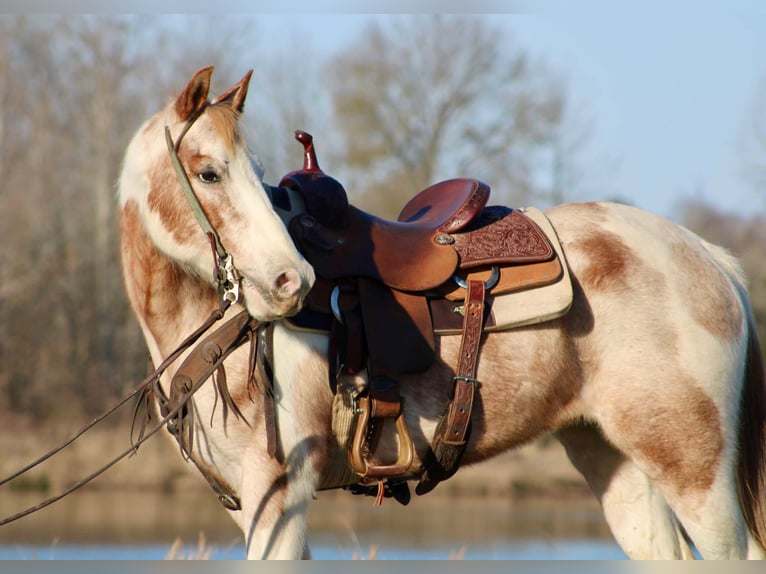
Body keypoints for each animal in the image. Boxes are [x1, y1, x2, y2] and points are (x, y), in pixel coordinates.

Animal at [118, 66, 766, 560]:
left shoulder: (280, 494)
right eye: (208, 172)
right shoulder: (258, 509)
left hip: (695, 471)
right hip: (614, 460)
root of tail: (707, 256)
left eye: (253, 173)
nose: (290, 280)